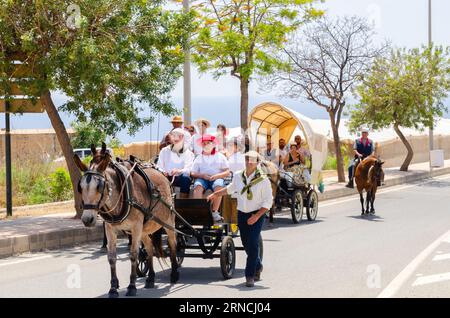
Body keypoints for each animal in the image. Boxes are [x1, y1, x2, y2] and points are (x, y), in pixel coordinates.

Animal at [74, 143, 178, 296]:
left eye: (99, 186)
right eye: (80, 187)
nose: (87, 219)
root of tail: (164, 176)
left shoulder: (135, 227)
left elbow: (134, 255)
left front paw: (132, 286)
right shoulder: (110, 229)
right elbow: (111, 257)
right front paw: (113, 287)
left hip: (168, 222)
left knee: (172, 244)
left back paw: (174, 273)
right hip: (145, 229)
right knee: (149, 247)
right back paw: (151, 278)